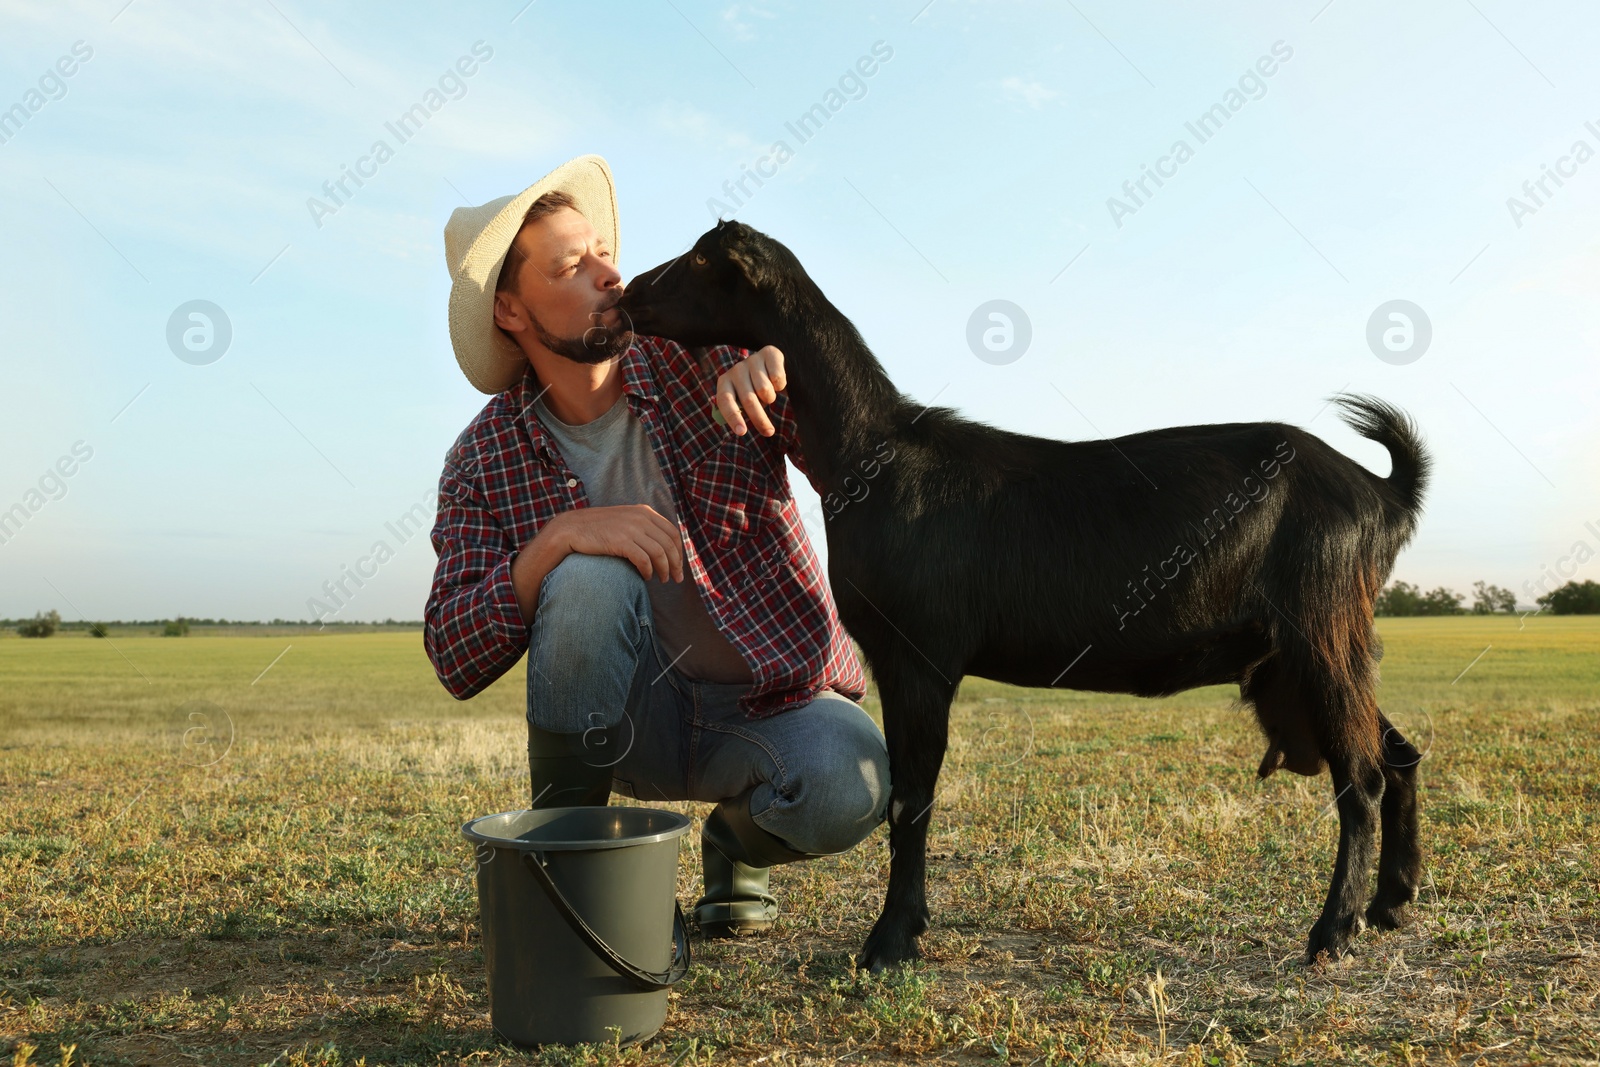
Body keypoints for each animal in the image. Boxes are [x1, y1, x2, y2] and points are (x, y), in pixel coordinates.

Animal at [617, 220, 1433, 972]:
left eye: (699, 259)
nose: (625, 295)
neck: (869, 454)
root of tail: (1382, 492)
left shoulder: (920, 654)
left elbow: (911, 796)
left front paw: (890, 941)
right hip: (1304, 654)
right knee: (1396, 754)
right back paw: (1392, 902)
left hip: (1320, 627)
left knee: (1360, 776)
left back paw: (1332, 931)